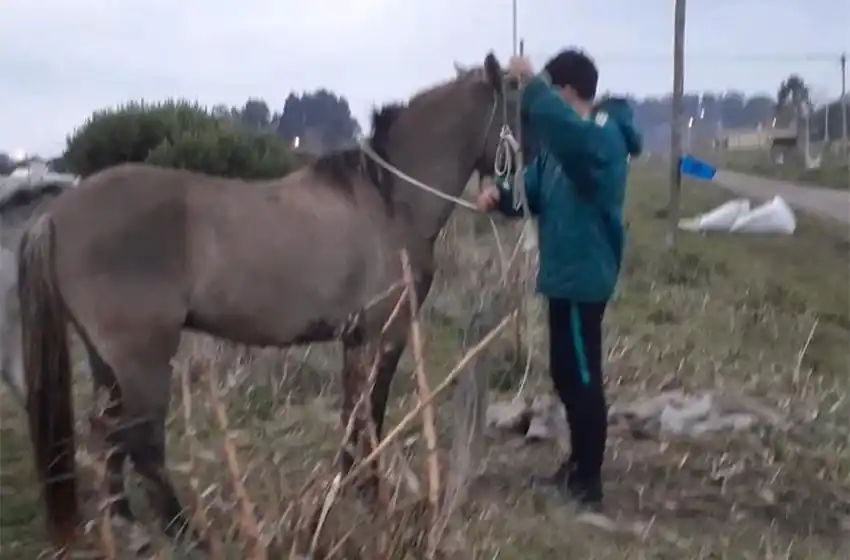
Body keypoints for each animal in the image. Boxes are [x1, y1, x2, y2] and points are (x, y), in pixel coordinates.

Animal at [17, 51, 519, 551]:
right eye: (523, 114)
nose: (516, 203)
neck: (387, 199)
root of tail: (55, 214)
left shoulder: (355, 340)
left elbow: (352, 419)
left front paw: (345, 492)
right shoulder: (385, 336)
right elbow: (371, 415)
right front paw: (372, 498)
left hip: (108, 362)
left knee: (109, 434)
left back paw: (123, 521)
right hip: (143, 360)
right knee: (143, 443)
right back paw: (186, 533)